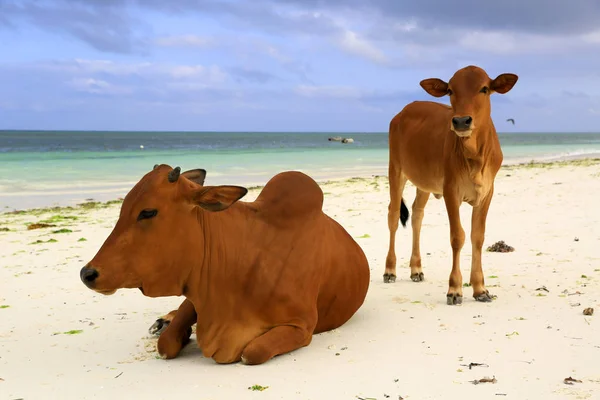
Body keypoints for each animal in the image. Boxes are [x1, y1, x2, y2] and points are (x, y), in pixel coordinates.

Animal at [79, 166, 370, 366]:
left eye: (148, 212)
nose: (87, 273)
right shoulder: (197, 294)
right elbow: (166, 343)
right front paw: (177, 330)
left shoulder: (302, 326)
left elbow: (252, 352)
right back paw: (162, 320)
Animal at [384, 65, 520, 306]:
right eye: (450, 90)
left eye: (484, 89)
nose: (461, 121)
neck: (474, 155)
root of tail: (403, 112)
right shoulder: (450, 191)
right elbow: (458, 236)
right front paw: (455, 289)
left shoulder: (487, 192)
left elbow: (477, 236)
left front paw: (480, 288)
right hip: (396, 170)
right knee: (393, 215)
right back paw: (390, 270)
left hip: (424, 183)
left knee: (417, 215)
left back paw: (416, 268)